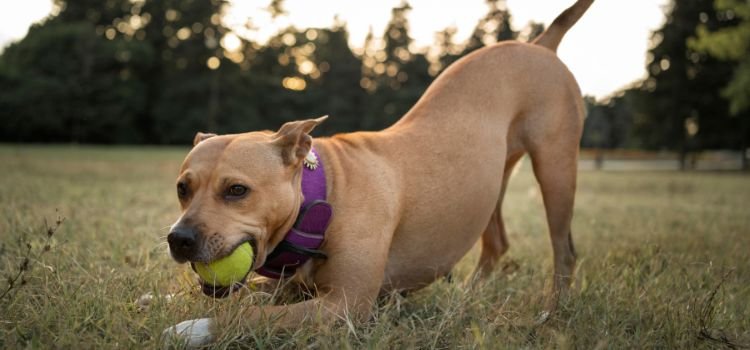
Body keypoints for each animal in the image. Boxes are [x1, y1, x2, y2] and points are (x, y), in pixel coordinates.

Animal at [167, 0, 596, 344]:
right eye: (182, 189)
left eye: (237, 190)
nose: (179, 239)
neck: (323, 194)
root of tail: (539, 45)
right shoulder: (290, 287)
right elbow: (248, 293)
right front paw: (166, 297)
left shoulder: (344, 305)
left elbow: (253, 314)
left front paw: (194, 328)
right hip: (490, 184)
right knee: (497, 244)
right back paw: (468, 298)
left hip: (556, 167)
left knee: (565, 251)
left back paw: (551, 313)